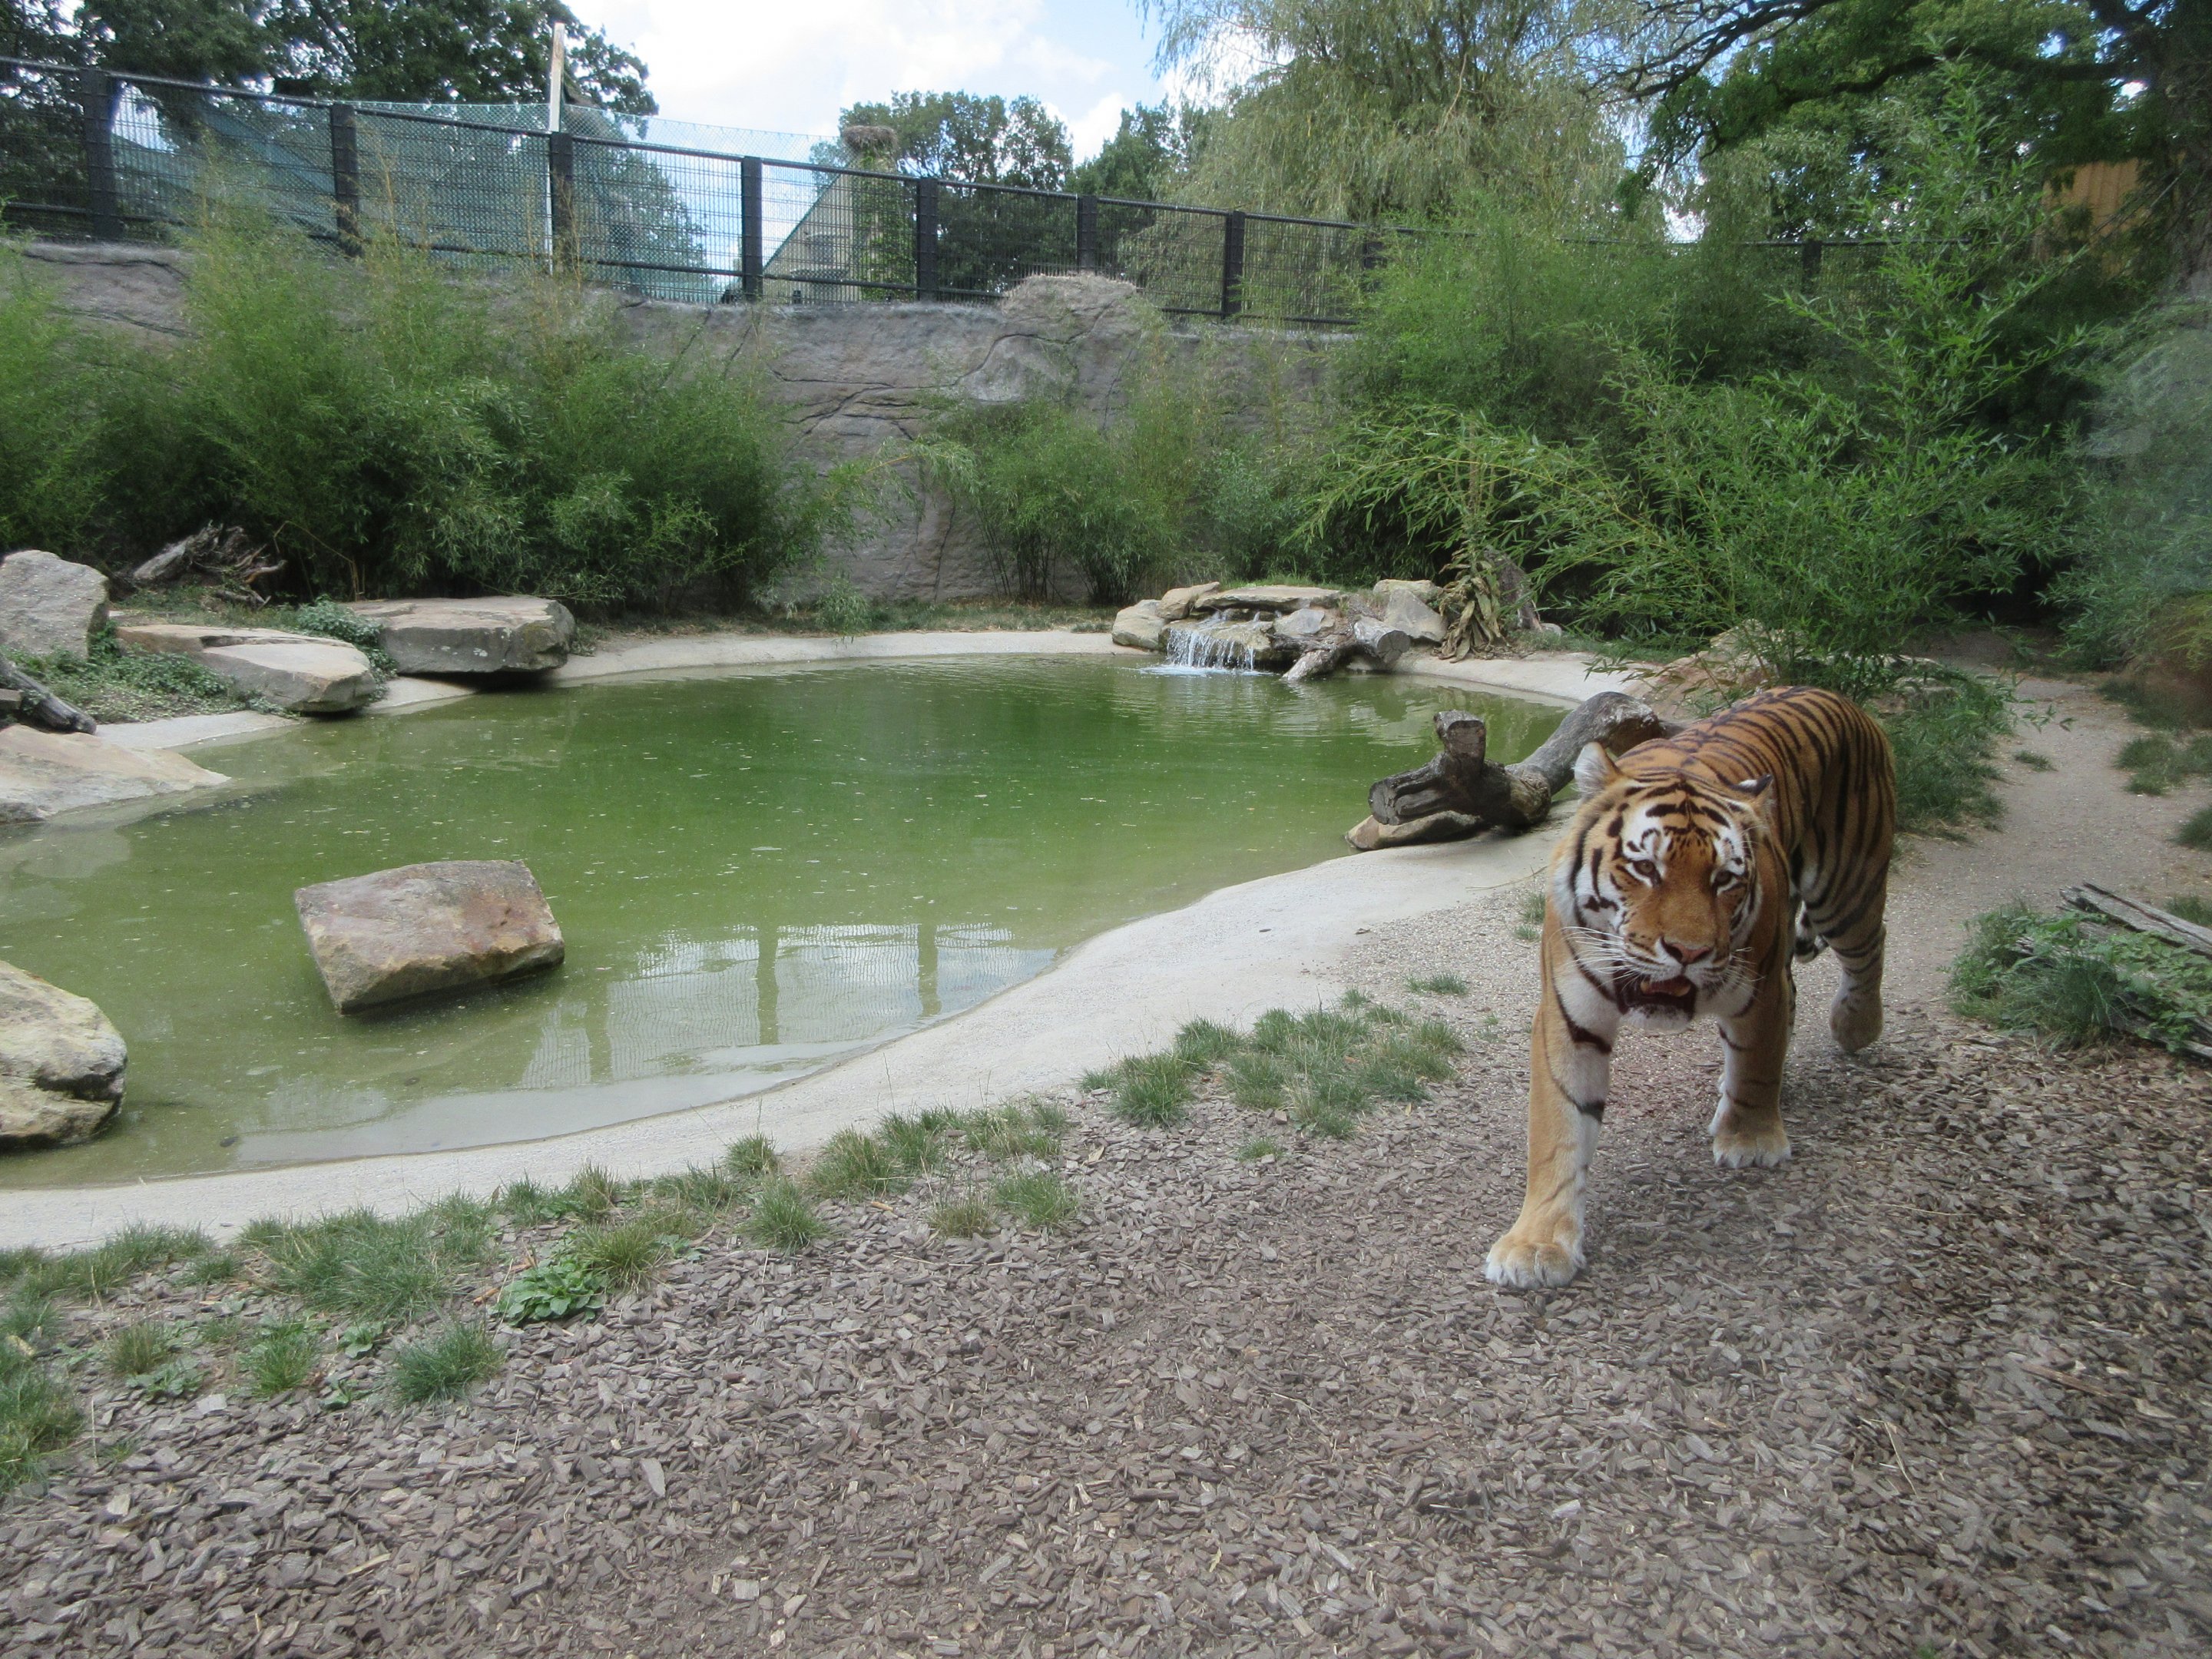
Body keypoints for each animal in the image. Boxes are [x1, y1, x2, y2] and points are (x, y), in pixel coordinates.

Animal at [1485, 685, 1894, 1290]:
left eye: (1724, 879)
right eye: (1645, 868)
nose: (1689, 952)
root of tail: (1839, 697)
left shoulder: (1759, 988)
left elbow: (1756, 1061)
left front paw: (1750, 1141)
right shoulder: (1568, 1017)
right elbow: (1558, 1128)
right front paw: (1536, 1245)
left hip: (1847, 889)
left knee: (1869, 948)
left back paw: (1855, 1026)